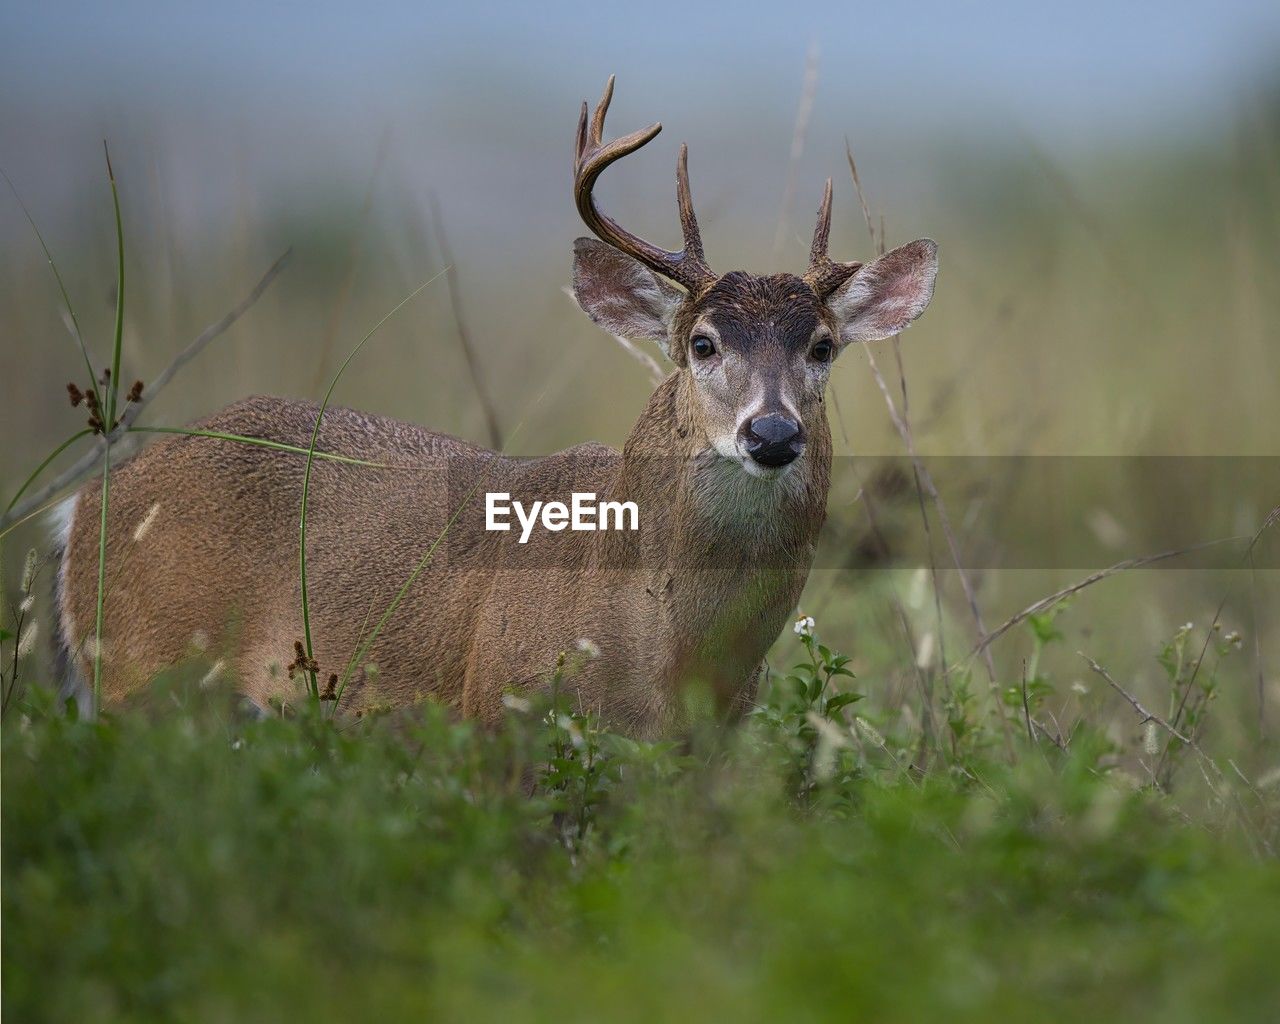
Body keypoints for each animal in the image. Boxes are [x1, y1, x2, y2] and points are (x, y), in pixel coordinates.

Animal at [52, 78, 937, 737]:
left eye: (822, 347)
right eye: (703, 343)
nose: (773, 431)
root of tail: (85, 503)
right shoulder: (499, 715)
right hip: (135, 672)